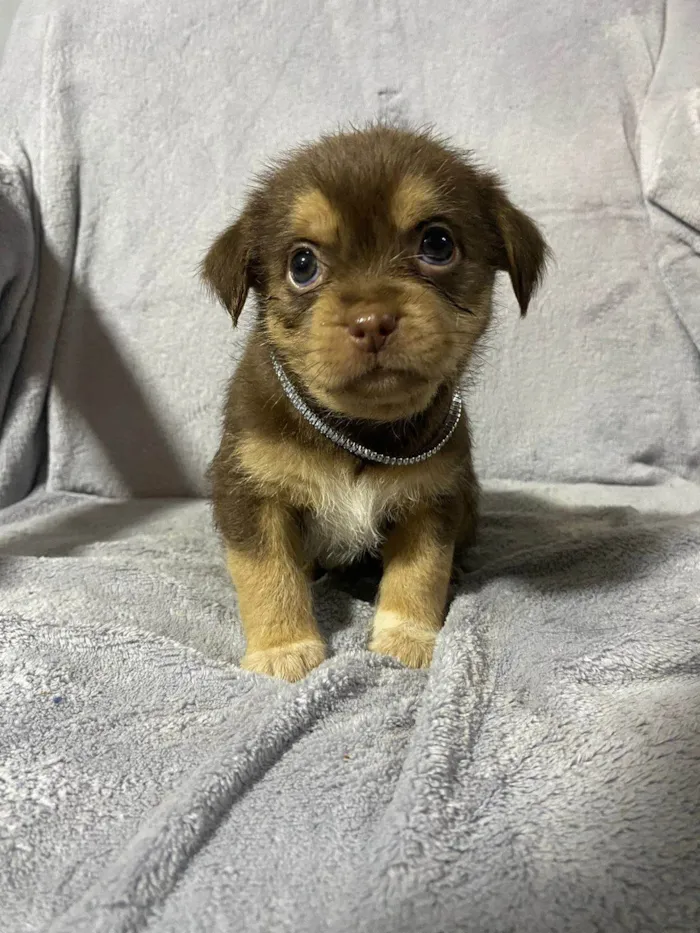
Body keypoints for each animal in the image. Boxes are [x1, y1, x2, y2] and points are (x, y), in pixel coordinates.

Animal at [202, 125, 548, 676]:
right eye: (302, 264)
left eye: (438, 243)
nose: (372, 322)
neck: (358, 433)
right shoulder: (250, 493)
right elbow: (268, 576)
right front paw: (283, 649)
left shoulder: (432, 499)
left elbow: (420, 574)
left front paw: (407, 640)